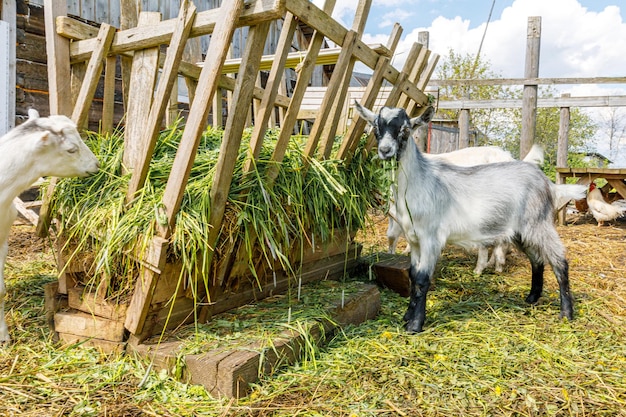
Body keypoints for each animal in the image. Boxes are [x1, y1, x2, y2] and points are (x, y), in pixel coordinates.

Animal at [354, 102, 572, 334]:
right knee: (537, 260)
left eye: (405, 130)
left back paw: (566, 313)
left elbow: (422, 279)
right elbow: (413, 275)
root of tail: (547, 183)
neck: (418, 182)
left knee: (559, 261)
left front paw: (415, 324)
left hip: (538, 223)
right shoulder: (414, 240)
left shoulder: (431, 237)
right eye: (376, 129)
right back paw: (532, 297)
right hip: (522, 231)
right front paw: (407, 316)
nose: (385, 151)